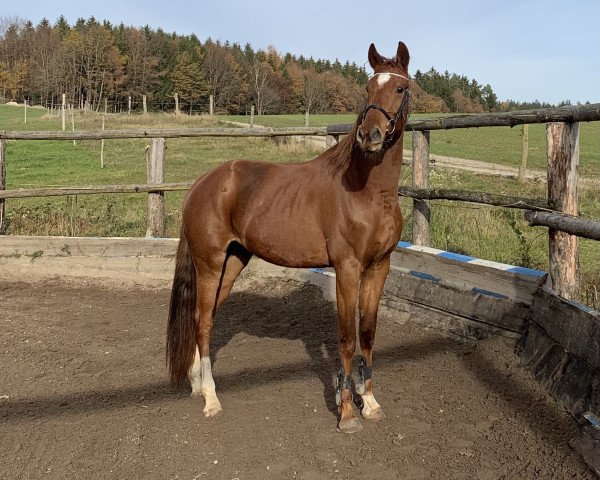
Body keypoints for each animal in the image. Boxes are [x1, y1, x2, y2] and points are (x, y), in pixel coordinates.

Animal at [169, 40, 412, 432]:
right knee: (203, 320)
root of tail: (202, 183)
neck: (368, 193)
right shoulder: (346, 268)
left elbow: (368, 333)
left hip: (233, 262)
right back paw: (211, 398)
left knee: (202, 316)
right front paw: (347, 413)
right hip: (210, 263)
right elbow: (346, 338)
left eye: (401, 88)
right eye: (368, 88)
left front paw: (371, 403)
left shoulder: (379, 267)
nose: (370, 135)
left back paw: (196, 382)